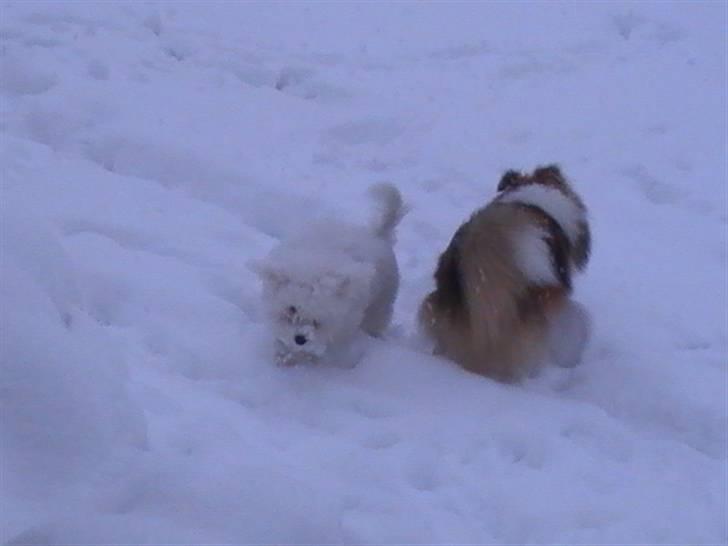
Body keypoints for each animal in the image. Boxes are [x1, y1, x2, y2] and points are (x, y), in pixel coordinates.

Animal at [255, 183, 404, 366]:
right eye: (292, 308)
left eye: (319, 315)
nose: (300, 339)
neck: (314, 264)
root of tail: (378, 234)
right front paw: (283, 354)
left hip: (380, 306)